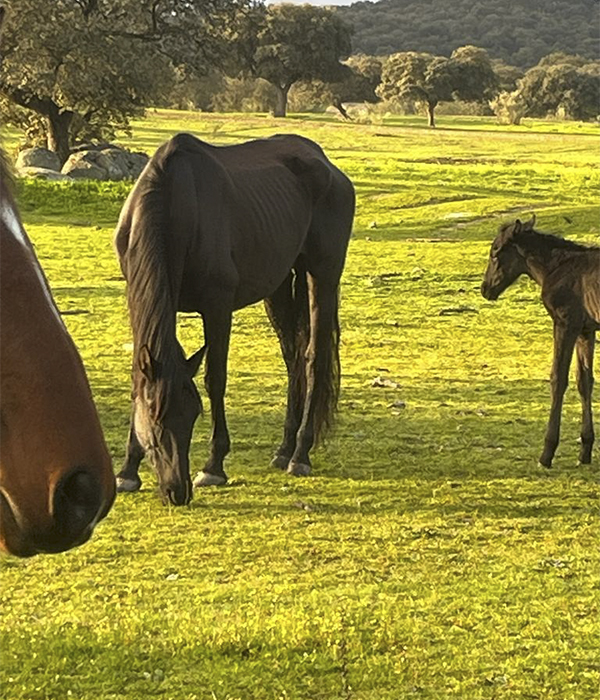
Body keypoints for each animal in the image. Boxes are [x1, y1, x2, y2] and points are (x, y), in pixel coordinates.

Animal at [114, 132, 355, 505]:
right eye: (154, 416)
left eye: (193, 414)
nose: (177, 490)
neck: (175, 205)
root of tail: (328, 166)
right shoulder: (136, 295)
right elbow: (137, 380)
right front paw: (128, 470)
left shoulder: (217, 305)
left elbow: (216, 379)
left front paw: (213, 466)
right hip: (280, 284)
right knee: (293, 358)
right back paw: (284, 449)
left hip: (322, 275)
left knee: (314, 357)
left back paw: (300, 454)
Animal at [481, 215, 599, 468]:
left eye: (495, 252)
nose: (485, 289)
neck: (554, 268)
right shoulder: (585, 331)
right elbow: (584, 381)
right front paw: (585, 449)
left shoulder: (565, 324)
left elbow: (558, 379)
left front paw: (547, 453)